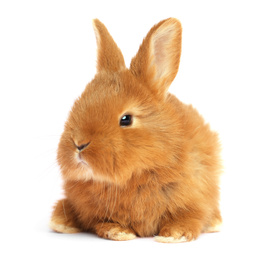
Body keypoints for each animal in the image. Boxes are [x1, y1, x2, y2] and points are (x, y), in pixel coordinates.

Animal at [49, 17, 222, 242]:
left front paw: (174, 235)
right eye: (77, 105)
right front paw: (119, 232)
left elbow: (189, 218)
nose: (79, 144)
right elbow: (102, 222)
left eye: (126, 119)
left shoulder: (195, 198)